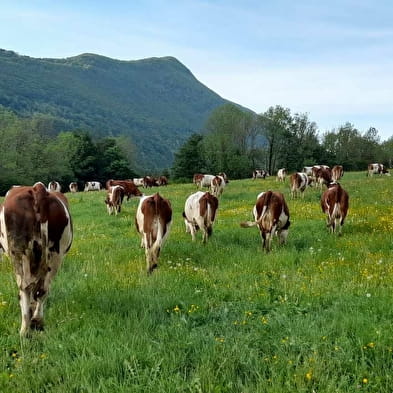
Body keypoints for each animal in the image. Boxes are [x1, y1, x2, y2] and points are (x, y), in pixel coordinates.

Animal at [0, 182, 72, 336]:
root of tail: (37, 188)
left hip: (19, 255)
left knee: (24, 289)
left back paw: (24, 330)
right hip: (55, 255)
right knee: (43, 289)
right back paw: (37, 321)